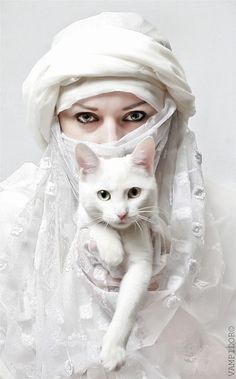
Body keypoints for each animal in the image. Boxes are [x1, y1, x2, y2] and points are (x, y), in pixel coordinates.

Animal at [75, 138, 160, 372]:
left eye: (134, 192)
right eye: (103, 195)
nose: (122, 214)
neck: (122, 231)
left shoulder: (142, 262)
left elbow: (128, 308)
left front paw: (113, 350)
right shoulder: (80, 216)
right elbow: (96, 222)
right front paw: (112, 250)